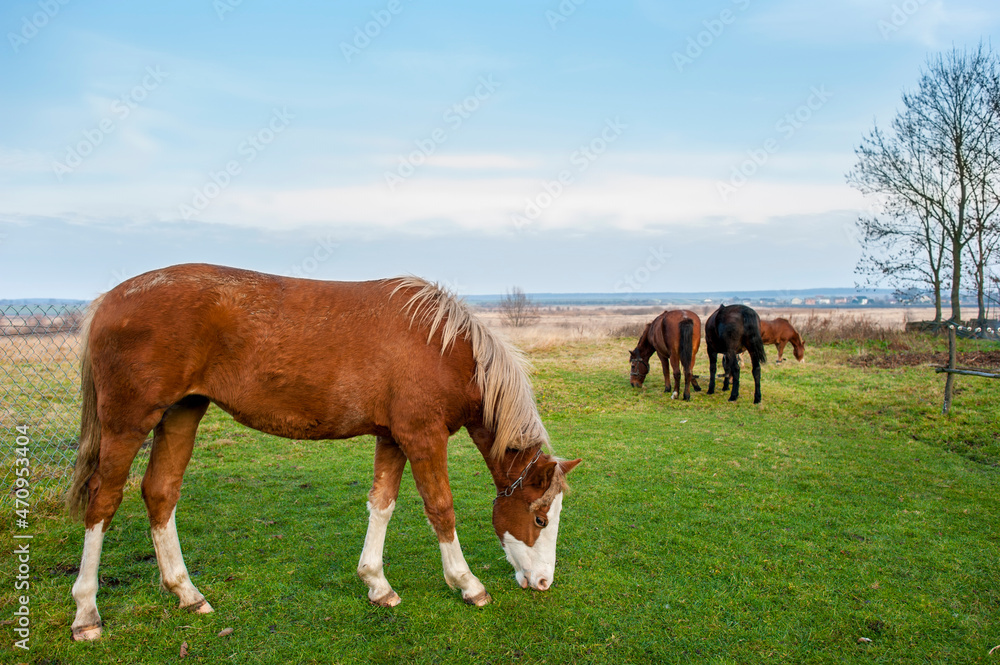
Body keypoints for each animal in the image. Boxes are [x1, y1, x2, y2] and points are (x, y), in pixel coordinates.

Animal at [66, 262, 584, 640]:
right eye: (540, 519)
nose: (544, 583)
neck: (440, 346)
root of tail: (109, 299)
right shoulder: (422, 437)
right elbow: (441, 508)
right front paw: (467, 584)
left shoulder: (393, 437)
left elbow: (382, 504)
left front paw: (376, 583)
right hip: (128, 424)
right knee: (103, 501)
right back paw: (87, 612)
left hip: (181, 413)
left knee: (160, 493)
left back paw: (186, 593)